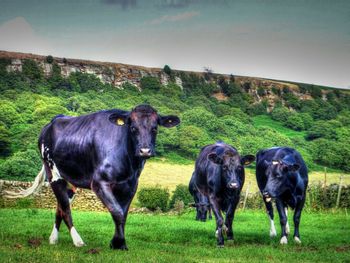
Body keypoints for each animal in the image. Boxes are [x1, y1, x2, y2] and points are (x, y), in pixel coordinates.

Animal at [6, 104, 180, 250]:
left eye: (155, 128)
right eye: (133, 128)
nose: (145, 150)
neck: (129, 163)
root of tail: (54, 120)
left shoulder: (131, 186)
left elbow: (123, 214)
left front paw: (119, 243)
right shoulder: (99, 183)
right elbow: (117, 211)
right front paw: (118, 243)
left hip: (70, 180)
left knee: (60, 207)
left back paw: (53, 239)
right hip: (53, 173)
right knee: (65, 208)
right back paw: (77, 241)